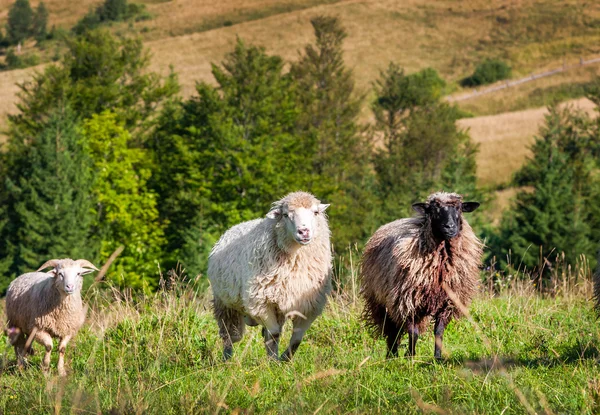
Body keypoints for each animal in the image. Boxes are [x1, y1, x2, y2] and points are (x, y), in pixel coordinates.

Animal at [209, 192, 332, 360]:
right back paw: (226, 360)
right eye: (286, 215)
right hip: (225, 304)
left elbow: (296, 340)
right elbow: (273, 334)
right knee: (230, 336)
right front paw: (274, 361)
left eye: (316, 212)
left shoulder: (309, 305)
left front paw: (284, 358)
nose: (304, 232)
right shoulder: (261, 302)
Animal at [360, 193, 482, 360]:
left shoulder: (447, 303)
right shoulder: (406, 302)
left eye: (459, 208)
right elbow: (414, 333)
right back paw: (392, 356)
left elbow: (438, 332)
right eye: (434, 210)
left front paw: (437, 358)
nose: (449, 227)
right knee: (392, 331)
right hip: (381, 302)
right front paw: (410, 356)